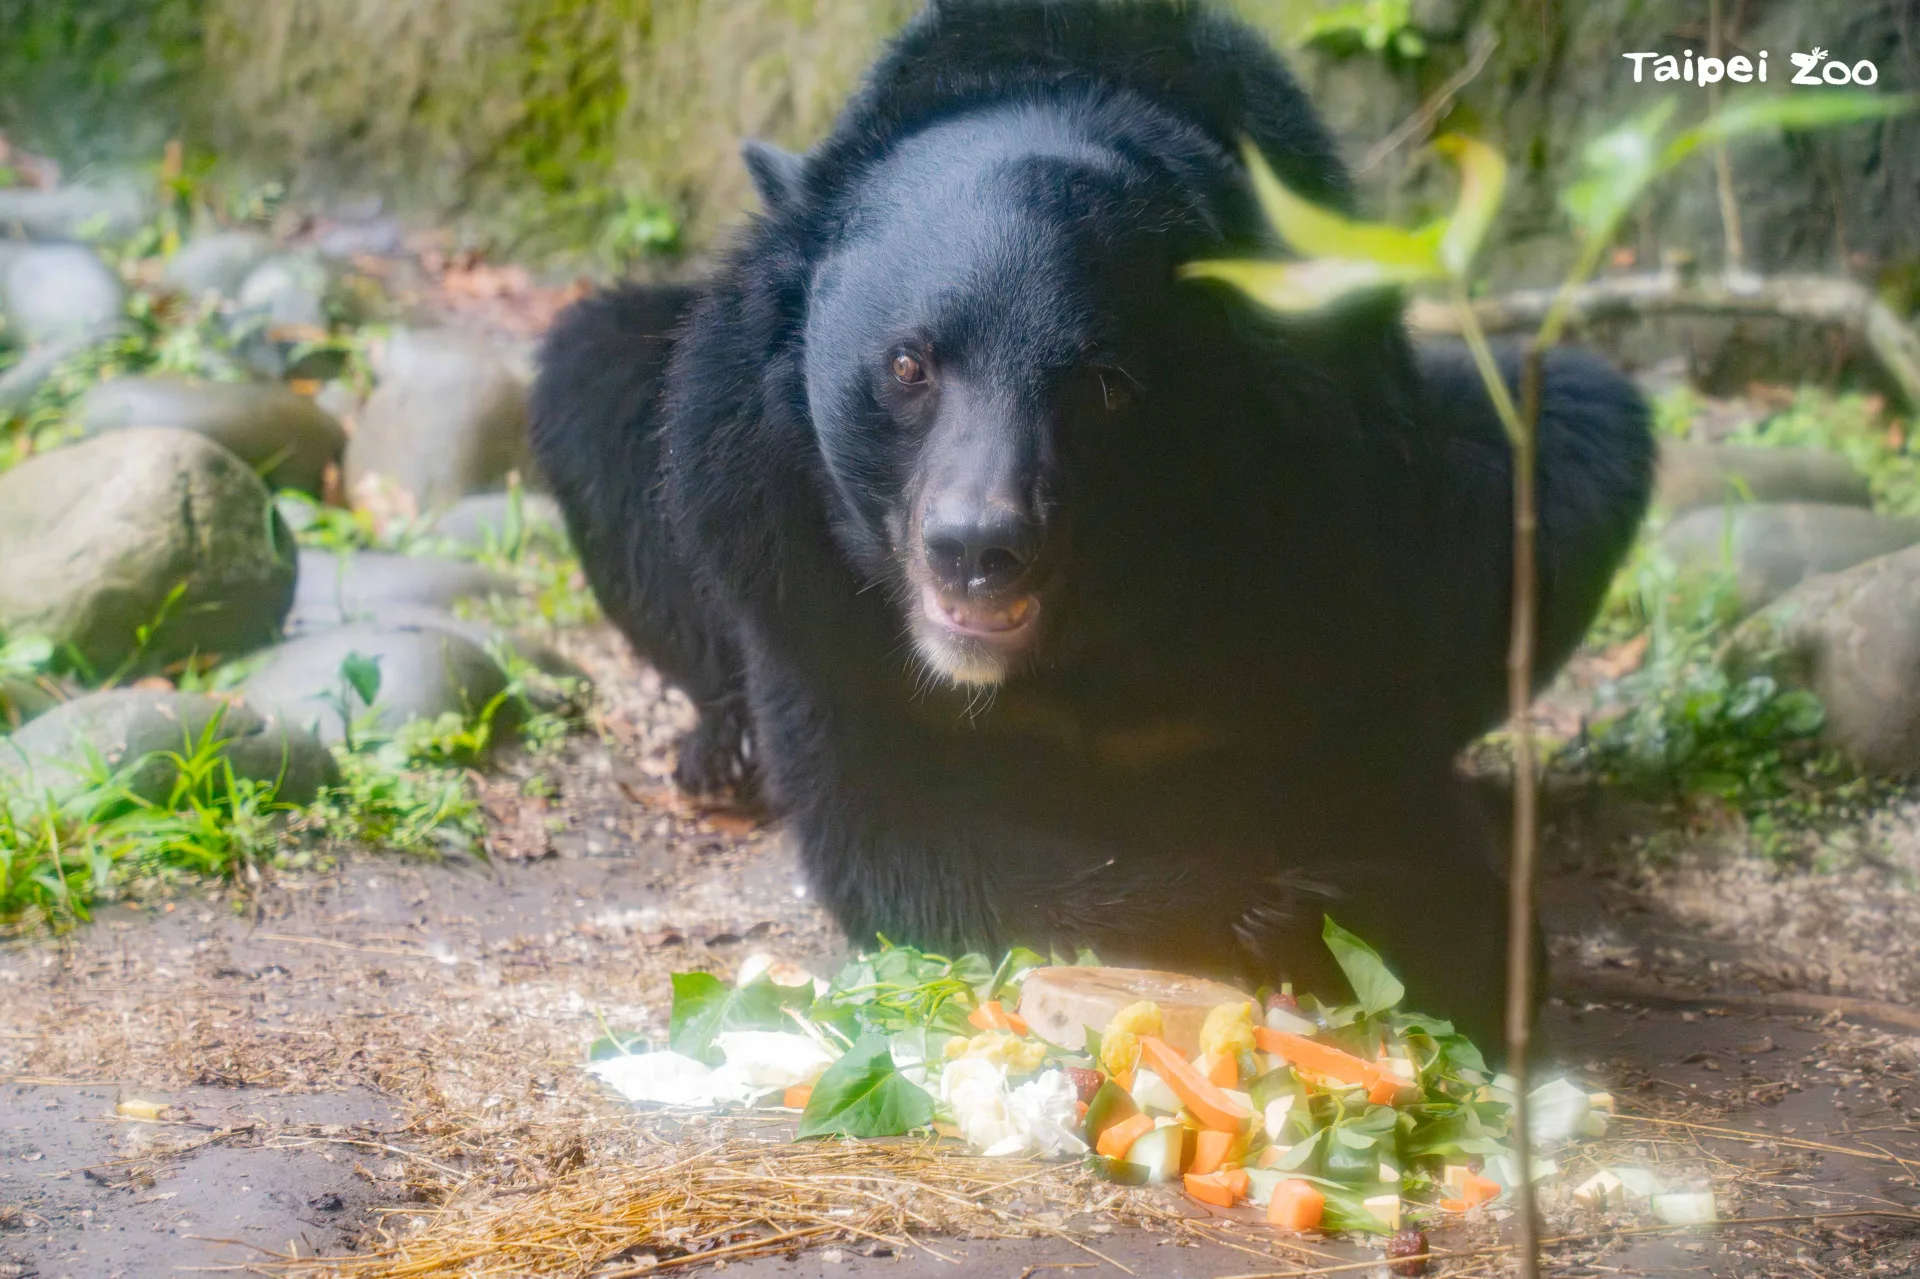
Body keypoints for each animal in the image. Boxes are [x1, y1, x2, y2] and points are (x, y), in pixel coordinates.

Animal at [531, 0, 1654, 1047]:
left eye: (1104, 386)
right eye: (909, 363)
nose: (977, 550)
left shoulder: (1328, 535)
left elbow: (1406, 812)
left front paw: (1352, 915)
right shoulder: (797, 573)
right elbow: (907, 838)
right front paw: (1251, 909)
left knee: (1582, 423)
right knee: (594, 371)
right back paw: (720, 754)